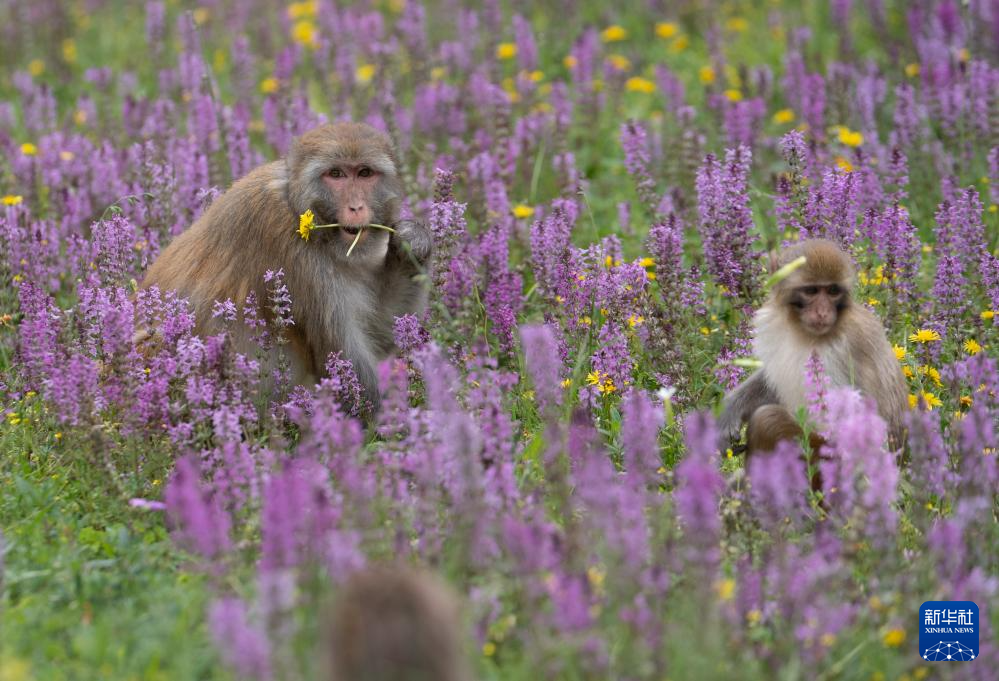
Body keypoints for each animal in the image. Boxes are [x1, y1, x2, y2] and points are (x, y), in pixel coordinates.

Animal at [140, 122, 430, 404]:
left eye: (364, 173)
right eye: (336, 174)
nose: (356, 207)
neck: (298, 206)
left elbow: (380, 331)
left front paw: (412, 242)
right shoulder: (284, 240)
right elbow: (342, 355)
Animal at [716, 239, 912, 456]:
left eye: (833, 291)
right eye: (811, 291)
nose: (822, 312)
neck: (801, 331)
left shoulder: (845, 347)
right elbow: (771, 380)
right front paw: (729, 412)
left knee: (767, 420)